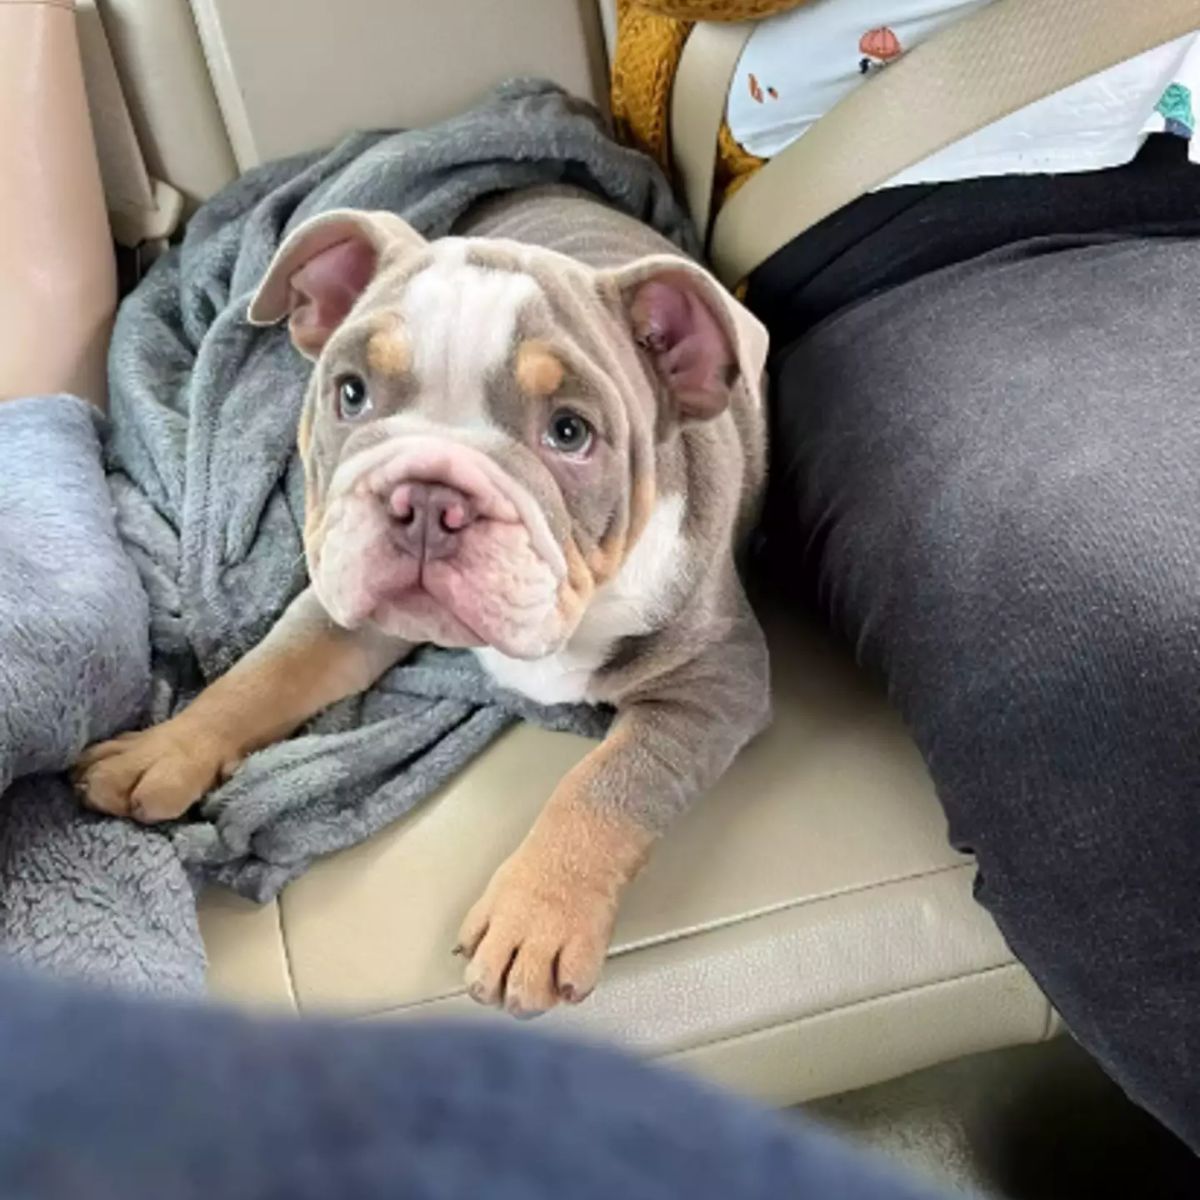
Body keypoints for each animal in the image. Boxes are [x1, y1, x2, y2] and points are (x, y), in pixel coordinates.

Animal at [72, 184, 768, 1012]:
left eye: (570, 433)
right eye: (351, 393)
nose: (430, 496)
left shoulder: (715, 682)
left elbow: (609, 782)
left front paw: (537, 915)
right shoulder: (340, 608)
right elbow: (263, 676)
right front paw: (162, 749)